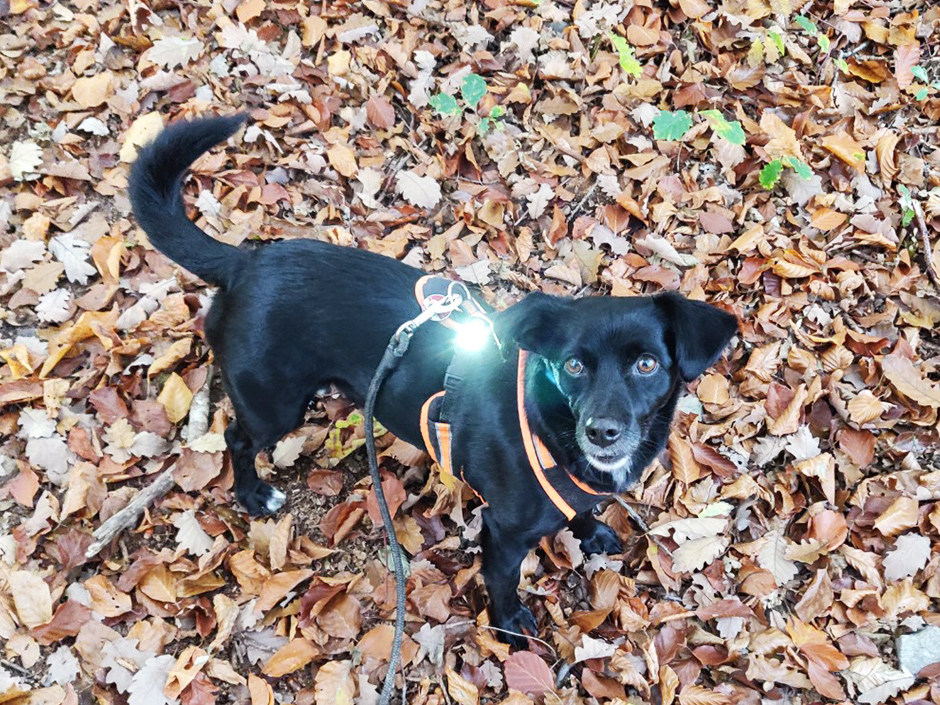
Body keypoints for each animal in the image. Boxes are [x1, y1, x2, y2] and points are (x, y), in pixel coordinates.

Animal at [129, 114, 740, 644]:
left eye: (647, 364)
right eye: (572, 365)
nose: (602, 432)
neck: (554, 429)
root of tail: (244, 263)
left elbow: (583, 509)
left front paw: (590, 533)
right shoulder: (503, 531)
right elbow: (502, 581)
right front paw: (510, 625)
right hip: (272, 402)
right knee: (237, 437)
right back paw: (253, 495)